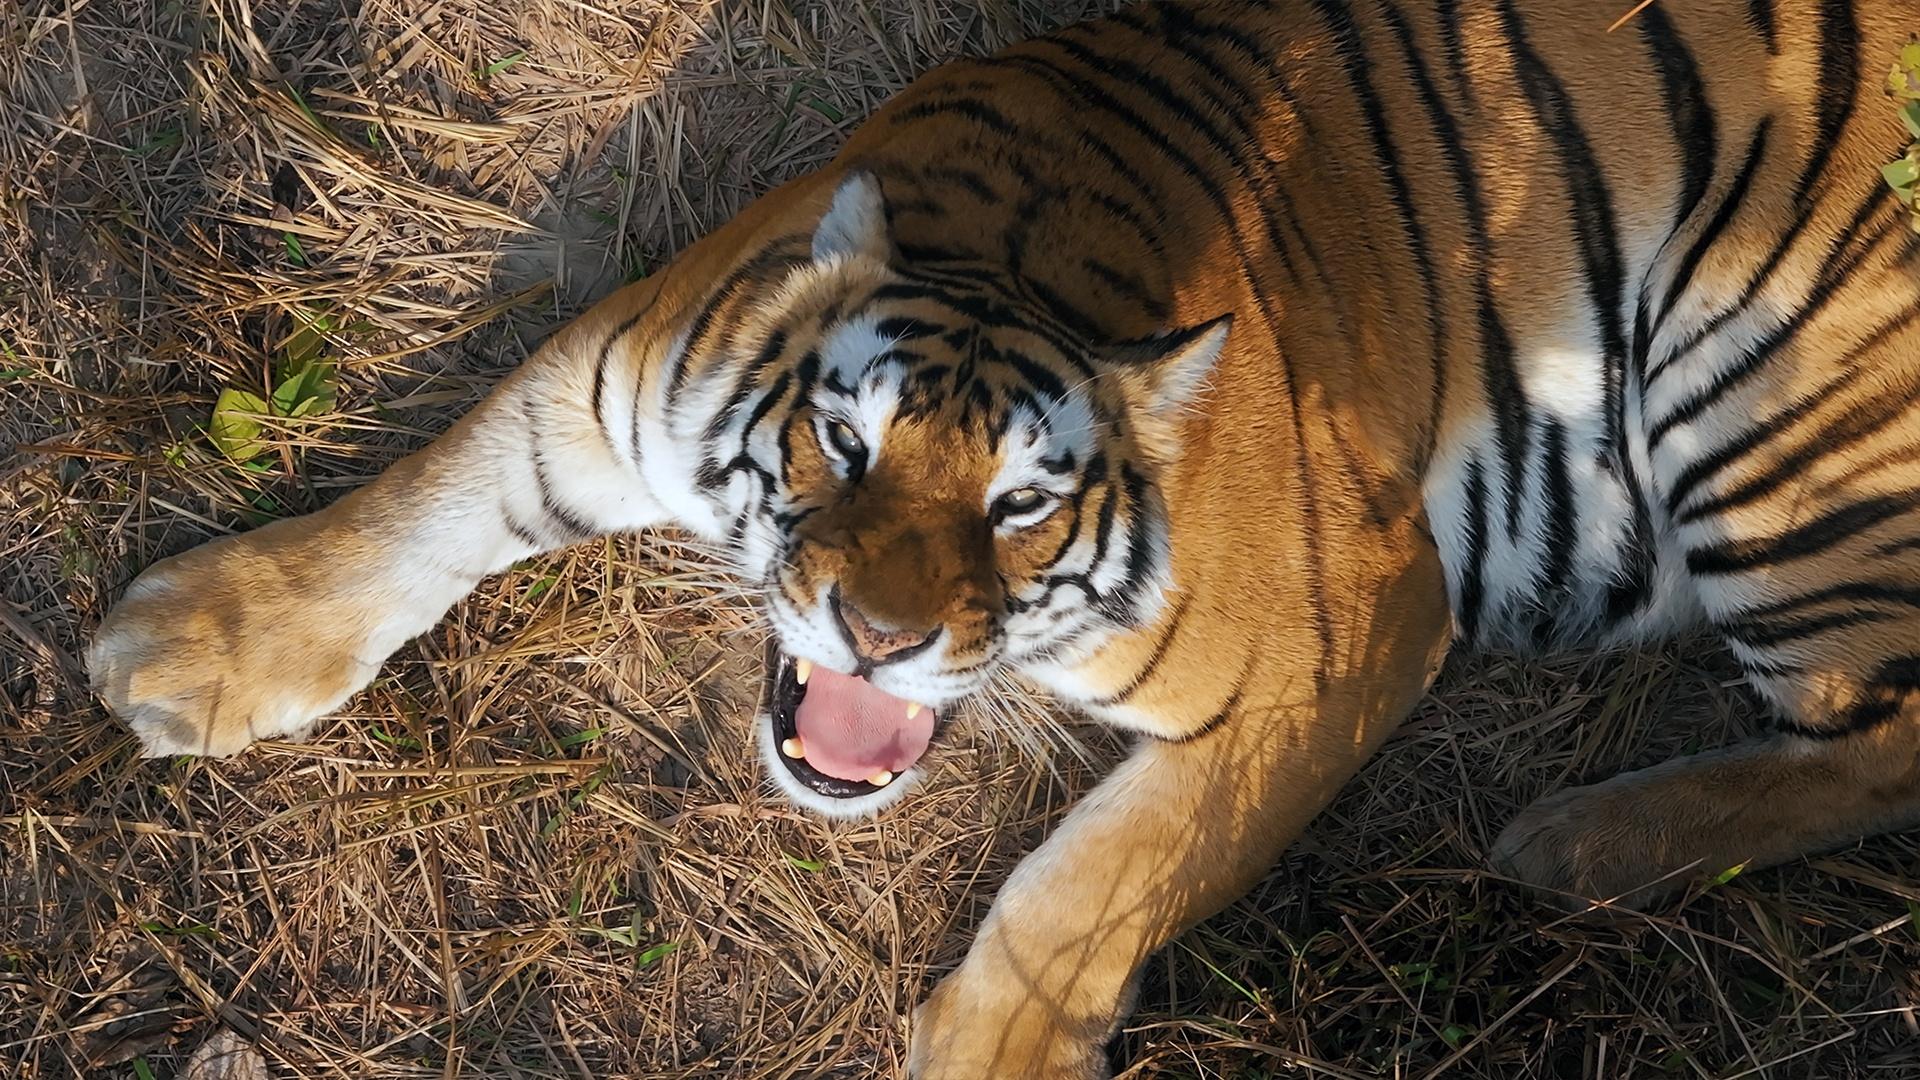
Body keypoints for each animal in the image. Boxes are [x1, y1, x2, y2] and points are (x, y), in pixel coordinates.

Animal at [85, 0, 1920, 1074]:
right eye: (844, 442)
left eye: (1024, 505)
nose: (881, 640)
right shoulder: (603, 385)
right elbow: (422, 503)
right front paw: (190, 645)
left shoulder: (1349, 639)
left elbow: (1097, 879)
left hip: (1765, 399)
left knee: (1884, 746)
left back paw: (1577, 844)